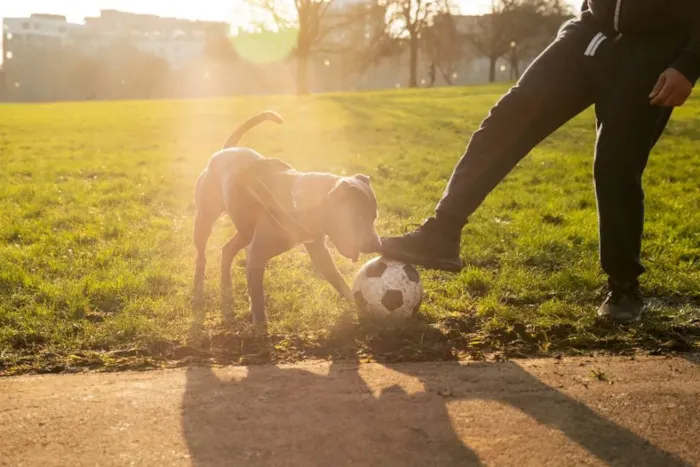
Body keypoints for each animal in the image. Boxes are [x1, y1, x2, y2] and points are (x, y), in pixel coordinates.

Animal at [193, 112, 382, 326]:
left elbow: (338, 279)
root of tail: (226, 150)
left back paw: (226, 286)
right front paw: (260, 326)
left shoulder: (319, 250)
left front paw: (358, 307)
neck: (301, 201)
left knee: (227, 250)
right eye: (357, 218)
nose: (378, 245)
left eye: (374, 216)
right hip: (205, 221)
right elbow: (257, 296)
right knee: (201, 256)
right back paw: (198, 287)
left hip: (245, 232)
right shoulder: (256, 254)